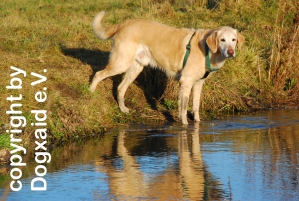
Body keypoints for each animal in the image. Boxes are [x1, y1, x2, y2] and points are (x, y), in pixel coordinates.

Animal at [90, 11, 245, 124]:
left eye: (233, 40)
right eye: (222, 40)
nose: (231, 52)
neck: (207, 50)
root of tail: (124, 23)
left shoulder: (198, 84)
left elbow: (195, 107)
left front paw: (197, 123)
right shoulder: (186, 83)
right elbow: (183, 109)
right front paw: (185, 125)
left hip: (136, 67)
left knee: (121, 87)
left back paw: (122, 109)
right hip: (121, 63)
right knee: (98, 74)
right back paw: (90, 92)